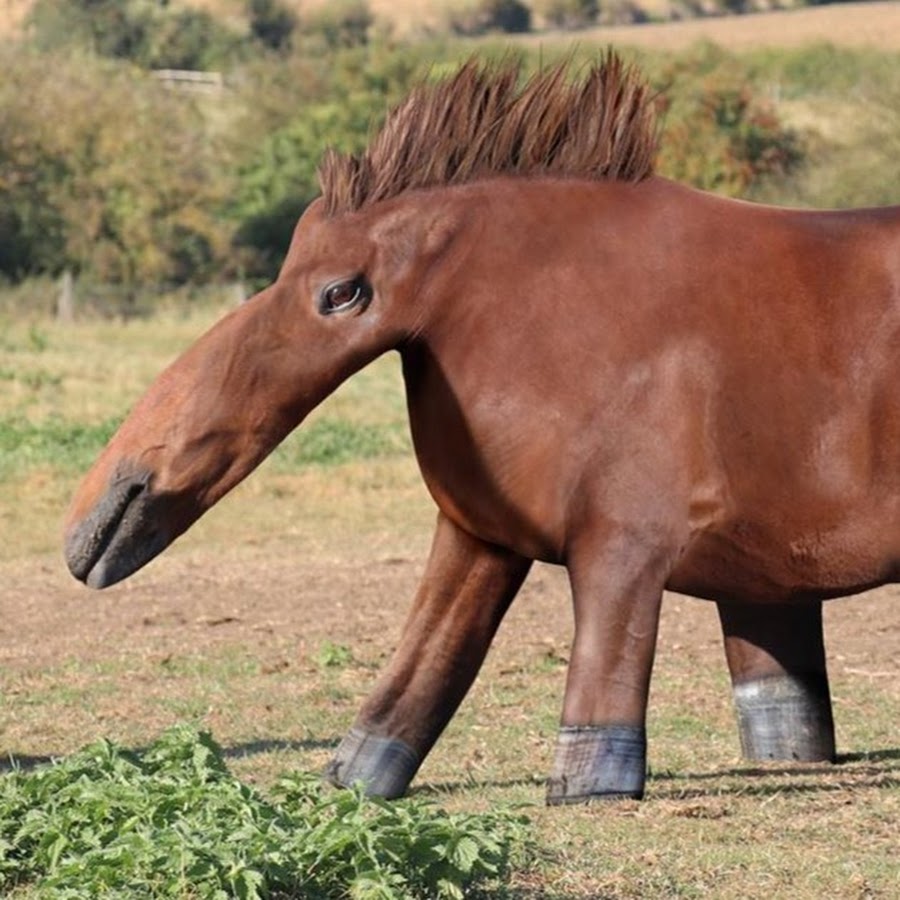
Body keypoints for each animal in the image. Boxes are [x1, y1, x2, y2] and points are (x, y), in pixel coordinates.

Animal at [59, 54, 896, 800]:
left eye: (341, 293)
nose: (101, 516)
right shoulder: (480, 533)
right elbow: (416, 673)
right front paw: (350, 780)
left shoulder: (624, 542)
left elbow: (600, 692)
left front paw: (587, 787)